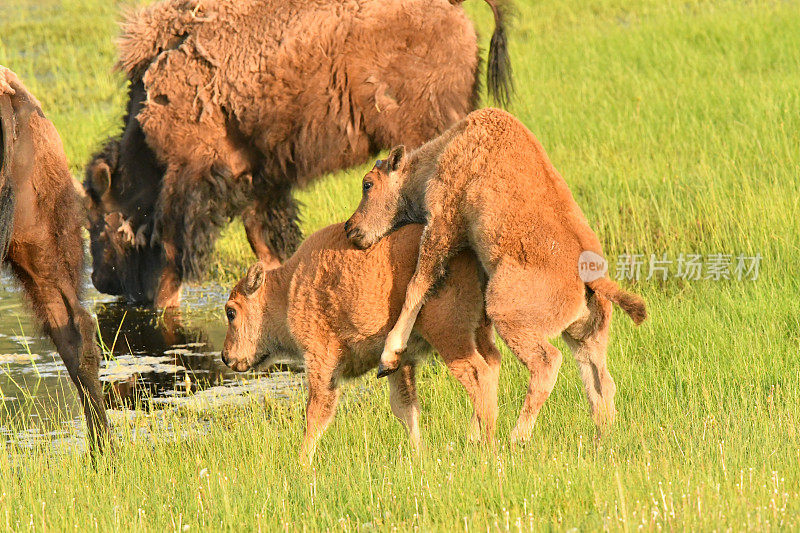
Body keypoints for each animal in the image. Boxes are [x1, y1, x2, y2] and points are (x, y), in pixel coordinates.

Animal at [86, 0, 512, 308]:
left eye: (96, 220)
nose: (99, 280)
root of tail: (453, 7)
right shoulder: (260, 180)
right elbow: (265, 239)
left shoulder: (190, 181)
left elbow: (173, 257)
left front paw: (164, 307)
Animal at [220, 222, 500, 464]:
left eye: (231, 312)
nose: (225, 356)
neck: (288, 290)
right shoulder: (400, 364)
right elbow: (405, 408)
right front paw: (418, 454)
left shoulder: (321, 361)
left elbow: (316, 414)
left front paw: (301, 464)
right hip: (479, 330)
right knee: (493, 364)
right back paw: (474, 438)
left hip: (449, 335)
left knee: (478, 374)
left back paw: (488, 446)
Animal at [346, 106, 648, 442]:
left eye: (368, 184)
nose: (350, 228)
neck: (444, 150)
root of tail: (592, 277)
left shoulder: (442, 225)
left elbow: (418, 284)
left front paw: (388, 358)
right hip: (586, 336)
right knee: (600, 382)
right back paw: (601, 438)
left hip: (509, 315)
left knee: (547, 363)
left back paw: (517, 437)